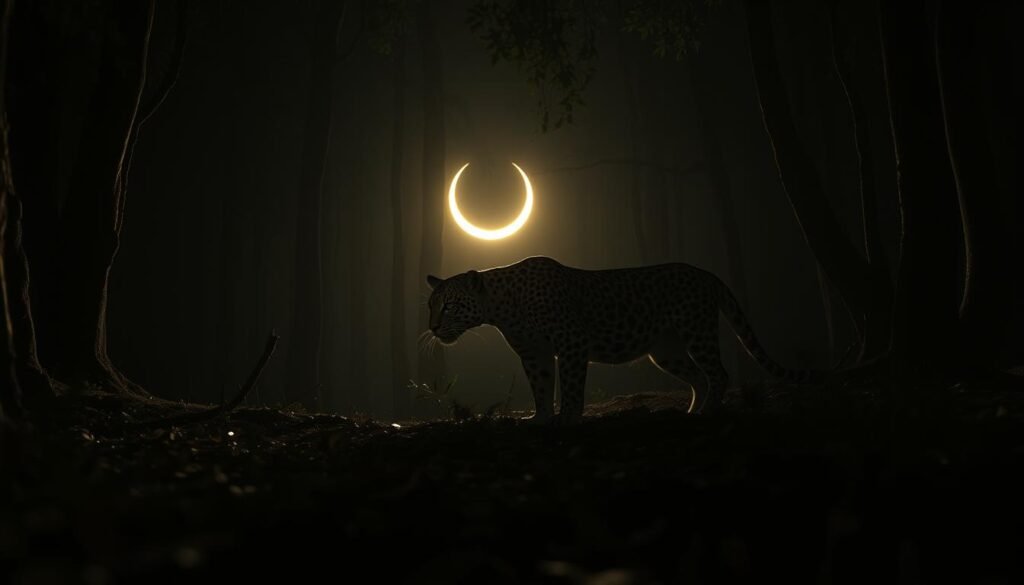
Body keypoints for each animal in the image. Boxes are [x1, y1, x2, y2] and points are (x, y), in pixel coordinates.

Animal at [425, 256, 816, 423]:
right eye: (431, 305)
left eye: (449, 306)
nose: (432, 328)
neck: (501, 308)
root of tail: (706, 273)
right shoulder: (534, 355)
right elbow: (541, 387)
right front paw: (540, 418)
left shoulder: (571, 344)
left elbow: (571, 387)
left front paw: (568, 417)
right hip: (666, 350)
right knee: (698, 377)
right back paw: (690, 411)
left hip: (697, 332)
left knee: (717, 373)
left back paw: (707, 413)